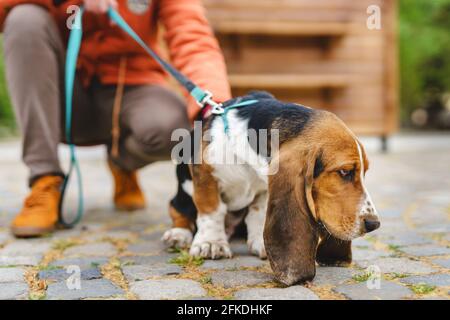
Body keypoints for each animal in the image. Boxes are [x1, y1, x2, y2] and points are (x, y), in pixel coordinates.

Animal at [163, 91, 380, 284]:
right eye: (344, 172)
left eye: (365, 172)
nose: (374, 224)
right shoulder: (205, 176)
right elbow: (211, 209)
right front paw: (211, 243)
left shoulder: (265, 186)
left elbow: (258, 213)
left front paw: (260, 242)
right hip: (182, 195)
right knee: (179, 211)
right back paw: (179, 234)